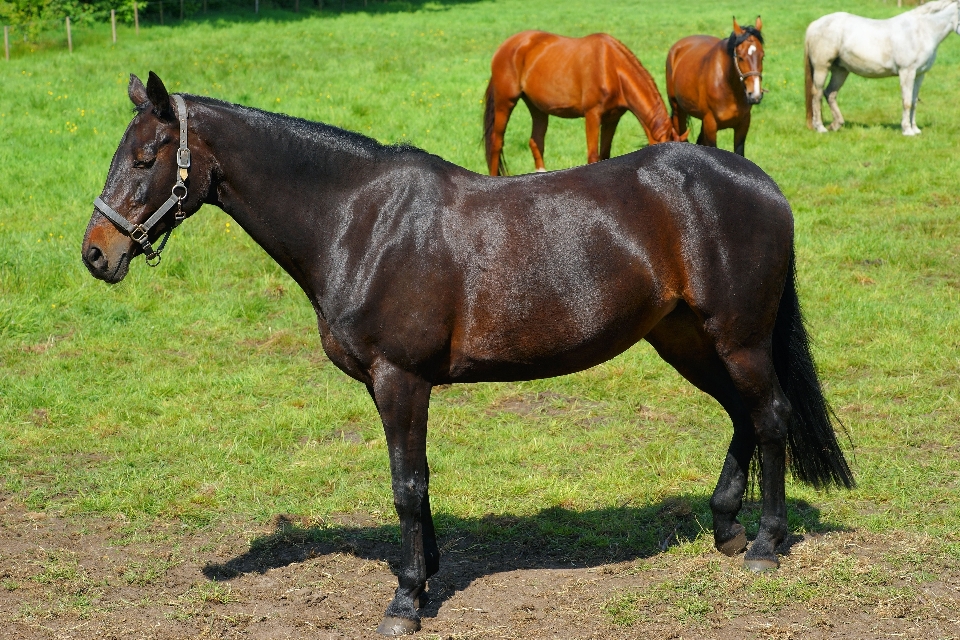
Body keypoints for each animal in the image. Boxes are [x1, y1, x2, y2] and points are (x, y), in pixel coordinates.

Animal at [84, 74, 856, 636]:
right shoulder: (401, 385)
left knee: (771, 416)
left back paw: (765, 546)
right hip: (686, 338)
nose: (97, 253)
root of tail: (760, 183)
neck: (357, 220)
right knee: (743, 416)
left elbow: (406, 485)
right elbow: (419, 483)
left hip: (737, 338)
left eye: (146, 157)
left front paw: (405, 601)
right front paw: (425, 578)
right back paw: (726, 527)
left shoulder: (400, 380)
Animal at [484, 30, 688, 175]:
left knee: (536, 142)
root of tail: (507, 45)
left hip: (537, 108)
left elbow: (605, 154)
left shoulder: (612, 118)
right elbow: (593, 155)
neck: (612, 68)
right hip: (505, 101)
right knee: (496, 143)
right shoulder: (592, 115)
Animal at [668, 16, 764, 157]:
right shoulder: (711, 124)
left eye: (762, 56)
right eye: (740, 57)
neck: (728, 86)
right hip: (677, 110)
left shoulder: (743, 124)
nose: (755, 95)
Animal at [804, 0, 960, 135]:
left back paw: (836, 124)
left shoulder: (919, 74)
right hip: (822, 68)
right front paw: (907, 130)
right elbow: (907, 102)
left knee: (830, 93)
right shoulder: (907, 72)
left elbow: (914, 102)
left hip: (840, 70)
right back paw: (821, 128)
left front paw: (915, 129)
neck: (920, 31)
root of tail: (815, 24)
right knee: (817, 94)